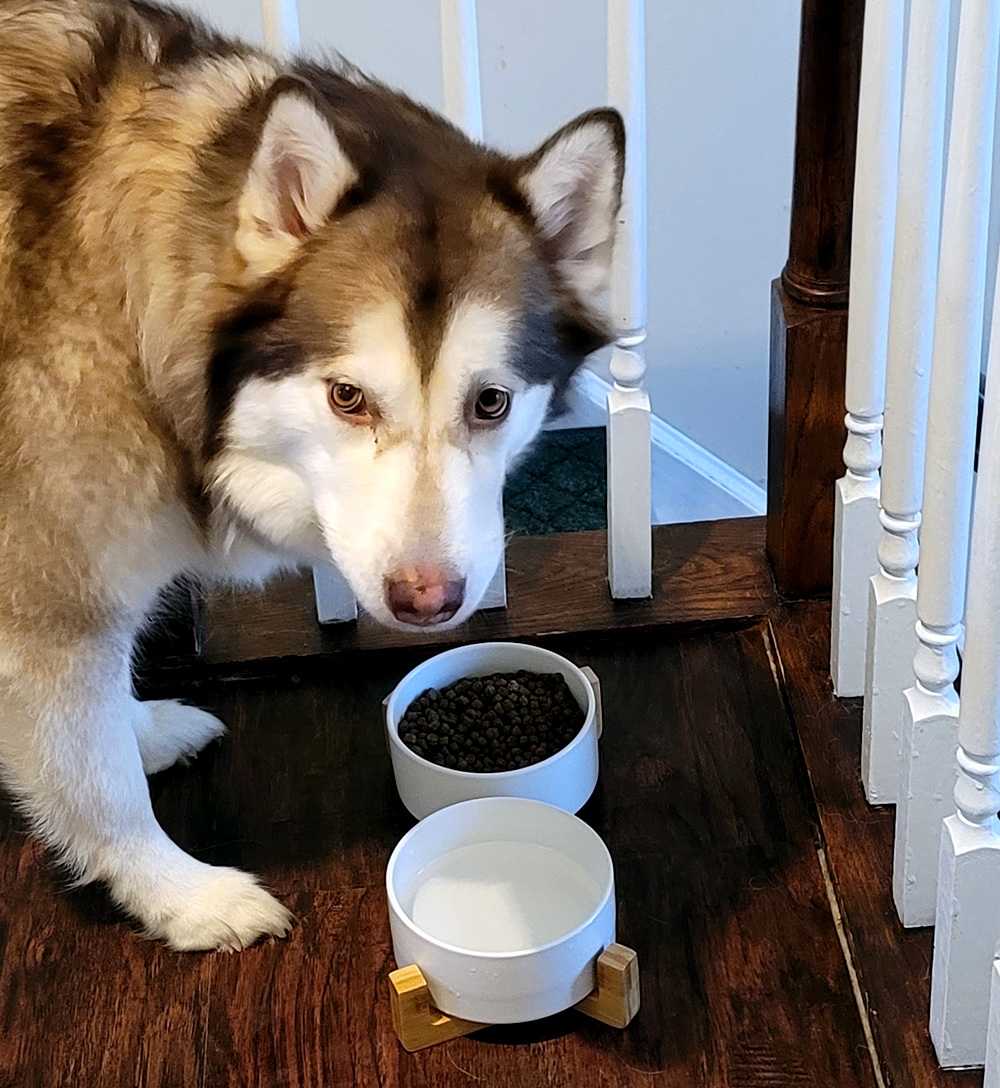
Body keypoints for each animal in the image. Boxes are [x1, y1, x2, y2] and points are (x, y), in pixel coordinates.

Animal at [0, 0, 626, 948]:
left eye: (490, 402)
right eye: (347, 397)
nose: (426, 600)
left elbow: (91, 732)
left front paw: (137, 729)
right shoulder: (52, 599)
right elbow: (99, 784)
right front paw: (180, 895)